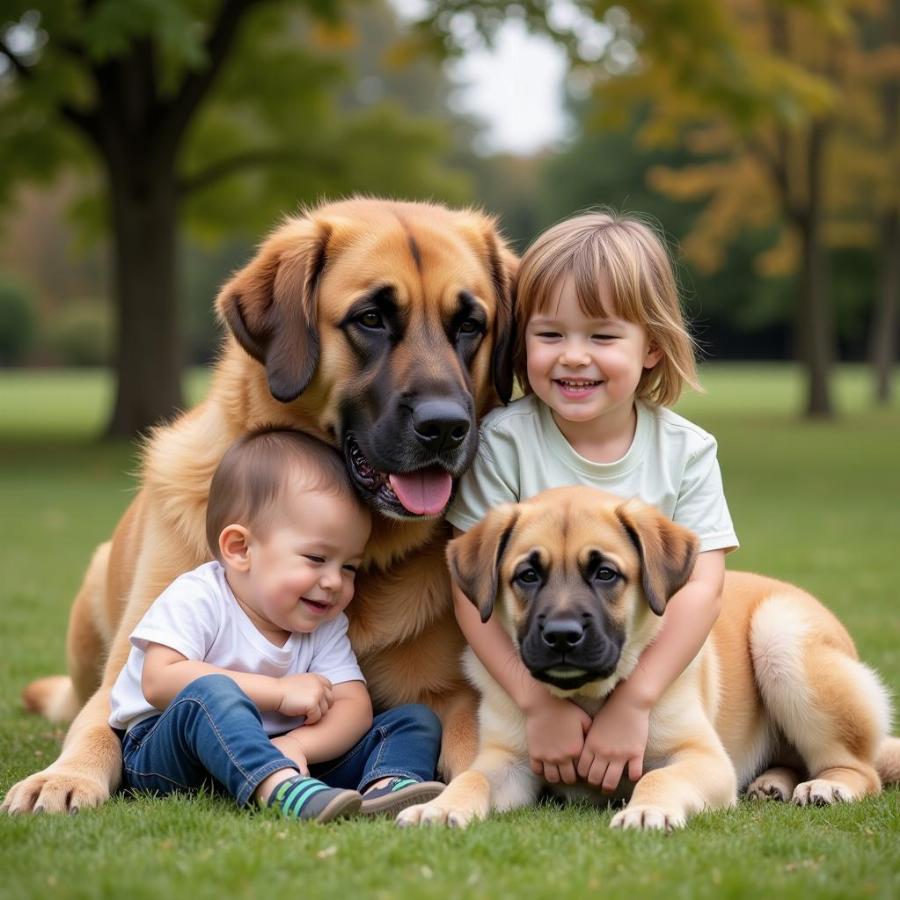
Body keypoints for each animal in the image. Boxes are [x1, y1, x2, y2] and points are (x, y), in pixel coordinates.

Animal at [3, 197, 516, 816]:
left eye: (469, 325)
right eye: (370, 318)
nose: (445, 427)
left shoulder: (450, 695)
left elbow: (471, 741)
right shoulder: (126, 675)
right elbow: (97, 727)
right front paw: (62, 777)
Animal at [400, 488, 900, 832]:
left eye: (605, 573)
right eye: (527, 575)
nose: (562, 636)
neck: (589, 698)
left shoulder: (703, 758)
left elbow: (657, 780)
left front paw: (646, 811)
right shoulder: (506, 761)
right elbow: (472, 779)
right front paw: (439, 807)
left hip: (780, 637)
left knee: (861, 769)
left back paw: (828, 785)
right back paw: (773, 783)